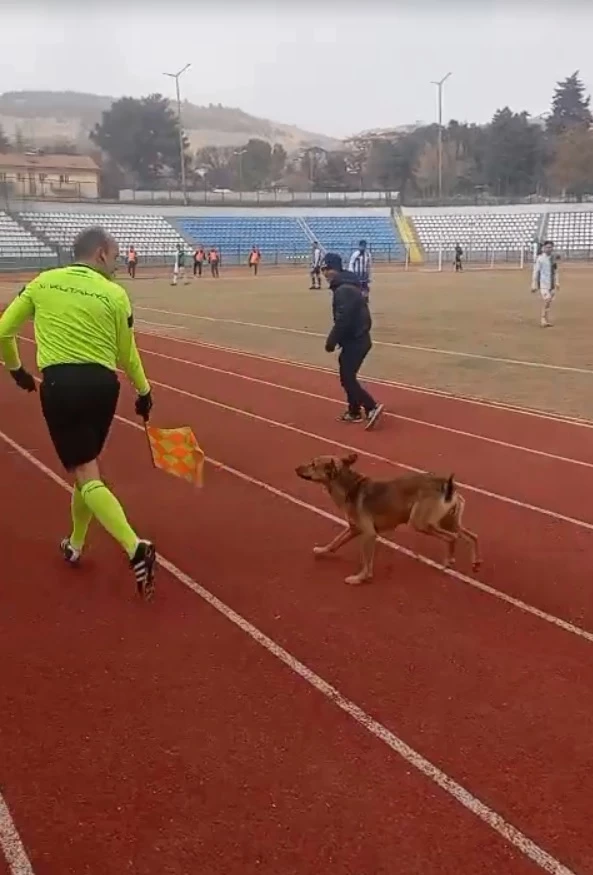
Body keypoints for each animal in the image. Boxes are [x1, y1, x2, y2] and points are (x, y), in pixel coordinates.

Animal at [294, 456, 478, 584]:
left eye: (313, 464)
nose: (296, 468)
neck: (350, 487)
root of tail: (446, 484)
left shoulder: (369, 534)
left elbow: (366, 562)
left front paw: (360, 578)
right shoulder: (353, 529)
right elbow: (335, 542)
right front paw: (322, 551)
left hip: (421, 523)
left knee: (452, 538)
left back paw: (449, 562)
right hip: (448, 522)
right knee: (472, 536)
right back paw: (475, 562)